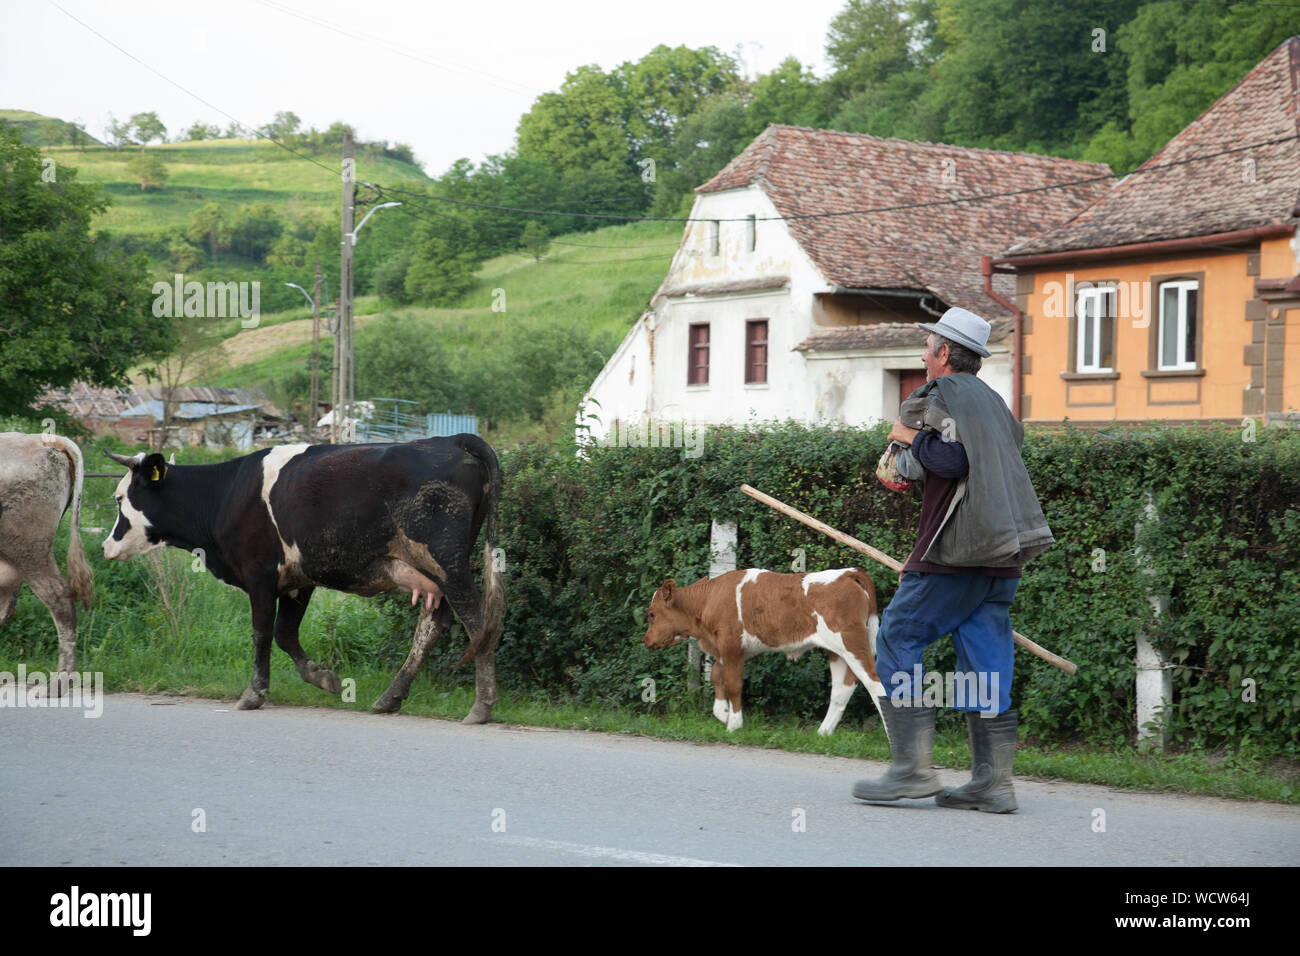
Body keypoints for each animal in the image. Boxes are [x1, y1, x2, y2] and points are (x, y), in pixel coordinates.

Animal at [101, 435, 503, 722]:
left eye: (120, 498)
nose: (106, 546)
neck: (225, 494)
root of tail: (449, 439)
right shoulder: (298, 579)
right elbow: (284, 633)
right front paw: (323, 677)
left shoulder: (260, 575)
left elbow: (262, 632)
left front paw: (254, 694)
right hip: (433, 573)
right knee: (432, 625)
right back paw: (391, 697)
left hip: (447, 564)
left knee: (478, 622)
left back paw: (481, 707)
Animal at [643, 568, 887, 735]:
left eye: (652, 614)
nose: (646, 641)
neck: (709, 600)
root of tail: (849, 573)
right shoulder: (724, 649)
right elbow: (716, 678)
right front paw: (724, 714)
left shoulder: (731, 646)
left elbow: (732, 684)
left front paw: (734, 724)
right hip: (837, 651)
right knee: (842, 688)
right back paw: (823, 733)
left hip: (851, 642)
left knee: (875, 683)